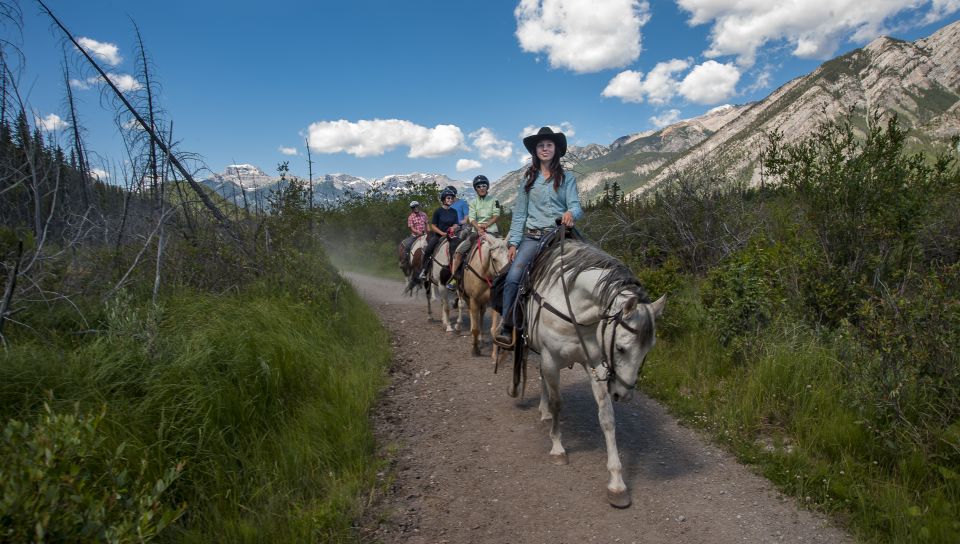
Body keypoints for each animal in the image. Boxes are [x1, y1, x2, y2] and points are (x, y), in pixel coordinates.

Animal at [512, 237, 664, 510]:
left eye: (648, 350)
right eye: (620, 347)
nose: (624, 395)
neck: (574, 309)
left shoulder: (595, 364)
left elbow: (607, 417)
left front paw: (617, 483)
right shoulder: (551, 359)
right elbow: (558, 403)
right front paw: (558, 448)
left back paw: (543, 412)